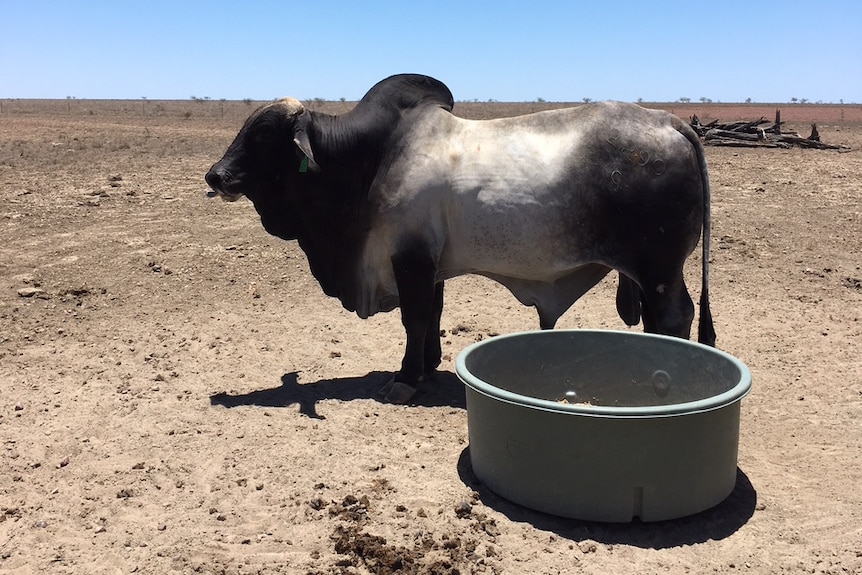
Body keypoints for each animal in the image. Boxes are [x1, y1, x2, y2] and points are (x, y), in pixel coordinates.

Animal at [204, 73, 716, 404]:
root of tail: (671, 122)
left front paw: (405, 379)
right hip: (651, 271)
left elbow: (413, 318)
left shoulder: (410, 260)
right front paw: (428, 365)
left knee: (674, 317)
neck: (369, 160)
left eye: (263, 134)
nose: (216, 175)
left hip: (659, 268)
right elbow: (432, 315)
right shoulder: (430, 264)